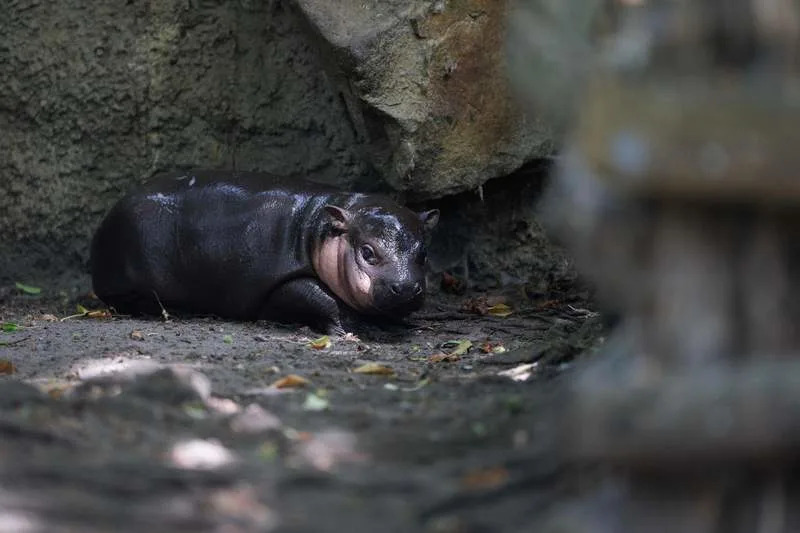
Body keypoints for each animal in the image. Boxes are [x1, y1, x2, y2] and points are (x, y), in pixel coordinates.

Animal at [90, 170, 439, 334]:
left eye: (424, 253)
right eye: (367, 251)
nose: (406, 286)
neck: (319, 229)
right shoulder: (280, 279)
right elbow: (318, 296)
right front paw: (353, 328)